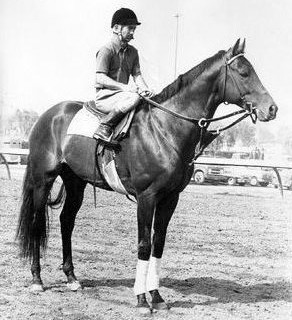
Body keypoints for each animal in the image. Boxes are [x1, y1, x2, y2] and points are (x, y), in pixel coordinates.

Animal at [16, 39, 278, 312]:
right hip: (43, 179)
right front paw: (142, 299)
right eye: (244, 72)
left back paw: (71, 278)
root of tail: (49, 116)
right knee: (36, 223)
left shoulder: (170, 198)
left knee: (67, 221)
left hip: (76, 181)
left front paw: (157, 296)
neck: (164, 128)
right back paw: (37, 279)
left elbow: (158, 244)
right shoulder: (146, 197)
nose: (272, 108)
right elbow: (144, 245)